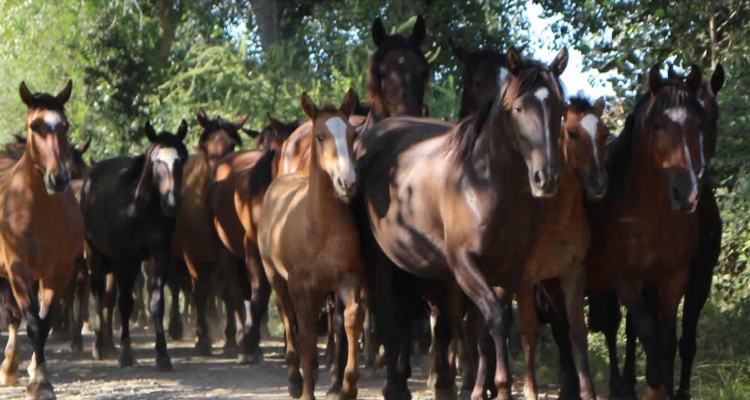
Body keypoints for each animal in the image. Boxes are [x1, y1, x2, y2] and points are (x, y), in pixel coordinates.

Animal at [0, 80, 85, 400]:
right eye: (35, 126)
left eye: (65, 125)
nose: (58, 179)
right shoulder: (18, 270)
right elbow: (32, 323)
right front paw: (39, 384)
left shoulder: (58, 272)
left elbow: (45, 322)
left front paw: (40, 376)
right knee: (13, 316)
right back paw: (9, 365)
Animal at [170, 107, 250, 356]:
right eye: (206, 147)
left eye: (232, 145)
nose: (218, 178)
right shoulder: (191, 254)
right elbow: (199, 292)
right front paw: (202, 338)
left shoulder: (225, 254)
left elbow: (230, 293)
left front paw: (231, 339)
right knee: (178, 286)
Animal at [258, 90, 366, 400]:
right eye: (320, 136)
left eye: (353, 133)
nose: (348, 181)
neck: (320, 227)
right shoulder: (300, 286)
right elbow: (304, 336)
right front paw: (307, 391)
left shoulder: (349, 279)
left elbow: (351, 321)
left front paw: (348, 386)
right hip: (277, 278)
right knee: (288, 319)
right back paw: (296, 379)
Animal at [356, 47, 568, 400]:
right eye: (518, 108)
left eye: (562, 110)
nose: (546, 177)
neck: (480, 184)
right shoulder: (463, 264)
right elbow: (495, 319)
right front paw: (502, 387)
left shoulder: (508, 270)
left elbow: (486, 327)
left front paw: (485, 389)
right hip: (379, 259)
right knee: (387, 315)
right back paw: (394, 385)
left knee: (407, 315)